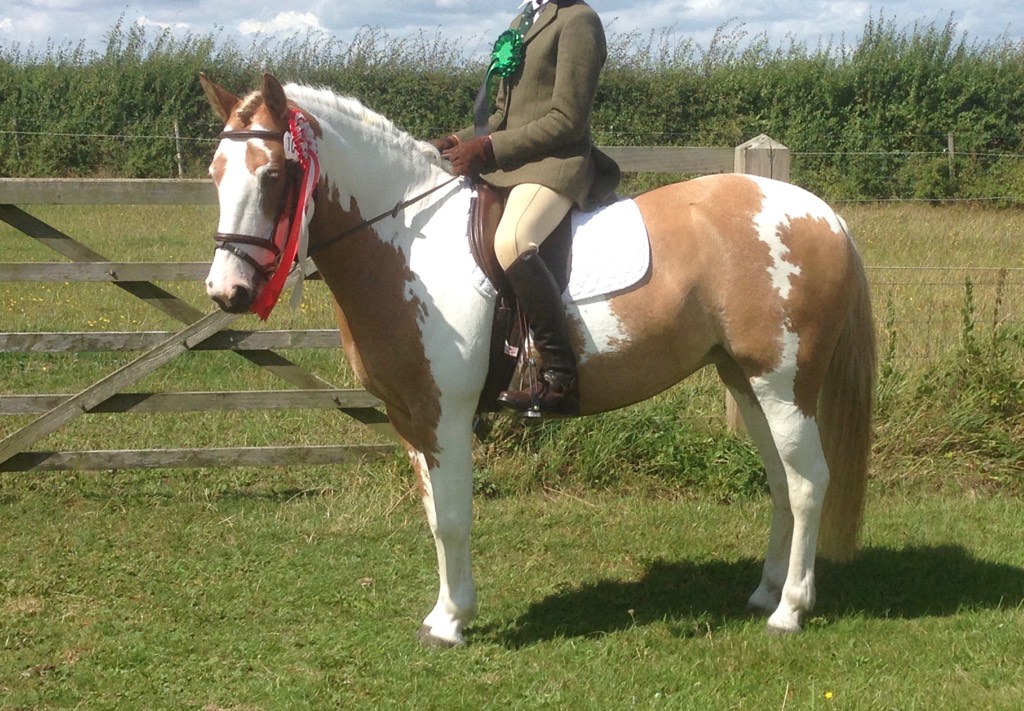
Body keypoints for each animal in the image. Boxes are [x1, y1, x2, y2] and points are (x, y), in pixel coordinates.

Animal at [198, 73, 876, 646]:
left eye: (274, 176)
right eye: (215, 172)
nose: (227, 292)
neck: (407, 244)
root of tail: (824, 216)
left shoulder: (445, 415)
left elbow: (453, 517)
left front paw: (452, 623)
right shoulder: (410, 416)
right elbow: (434, 514)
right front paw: (444, 613)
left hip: (784, 383)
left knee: (808, 482)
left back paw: (789, 610)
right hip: (744, 379)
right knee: (782, 481)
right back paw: (764, 593)